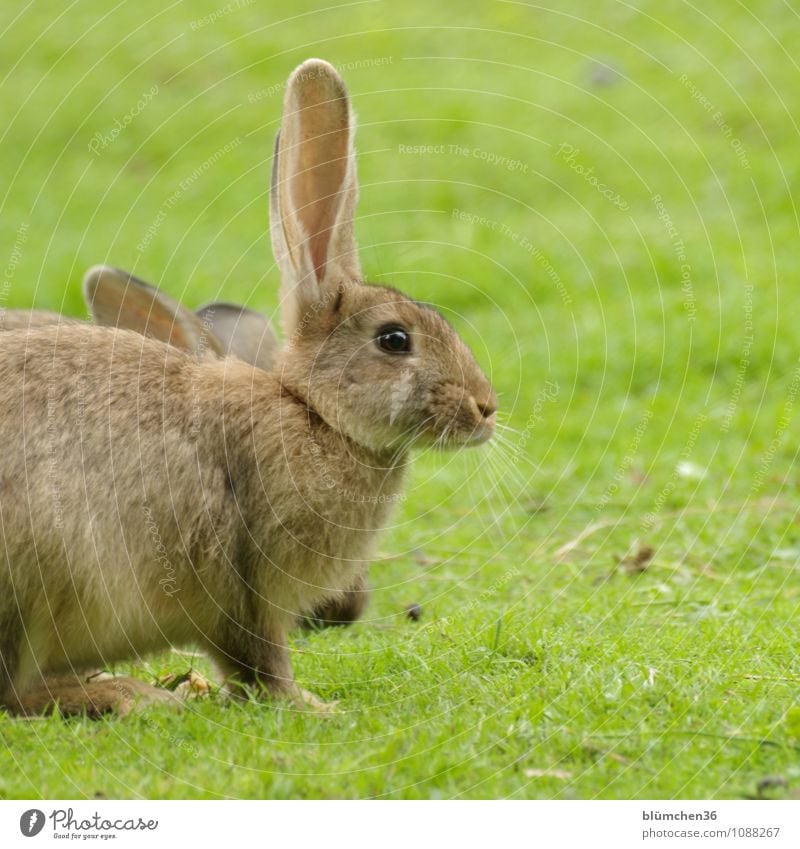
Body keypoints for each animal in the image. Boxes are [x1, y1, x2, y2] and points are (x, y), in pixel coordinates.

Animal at [0, 58, 494, 716]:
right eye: (394, 339)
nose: (486, 409)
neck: (315, 417)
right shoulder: (245, 583)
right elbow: (259, 659)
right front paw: (315, 707)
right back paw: (133, 695)